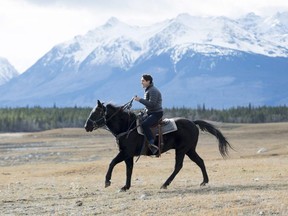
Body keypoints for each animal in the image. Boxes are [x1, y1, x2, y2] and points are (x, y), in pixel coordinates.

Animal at [85, 99, 232, 191]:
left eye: (96, 112)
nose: (86, 126)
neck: (127, 126)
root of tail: (193, 122)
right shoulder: (128, 155)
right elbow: (129, 170)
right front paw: (126, 187)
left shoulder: (125, 152)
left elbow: (112, 163)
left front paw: (107, 181)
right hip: (190, 150)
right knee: (200, 161)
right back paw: (204, 181)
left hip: (182, 150)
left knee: (178, 166)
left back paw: (165, 184)